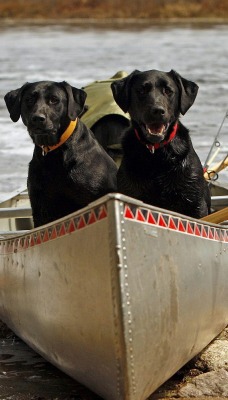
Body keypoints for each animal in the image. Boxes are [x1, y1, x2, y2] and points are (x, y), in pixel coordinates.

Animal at [110, 69, 210, 219]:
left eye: (168, 91)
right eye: (142, 90)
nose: (157, 110)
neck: (157, 155)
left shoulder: (195, 203)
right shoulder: (131, 192)